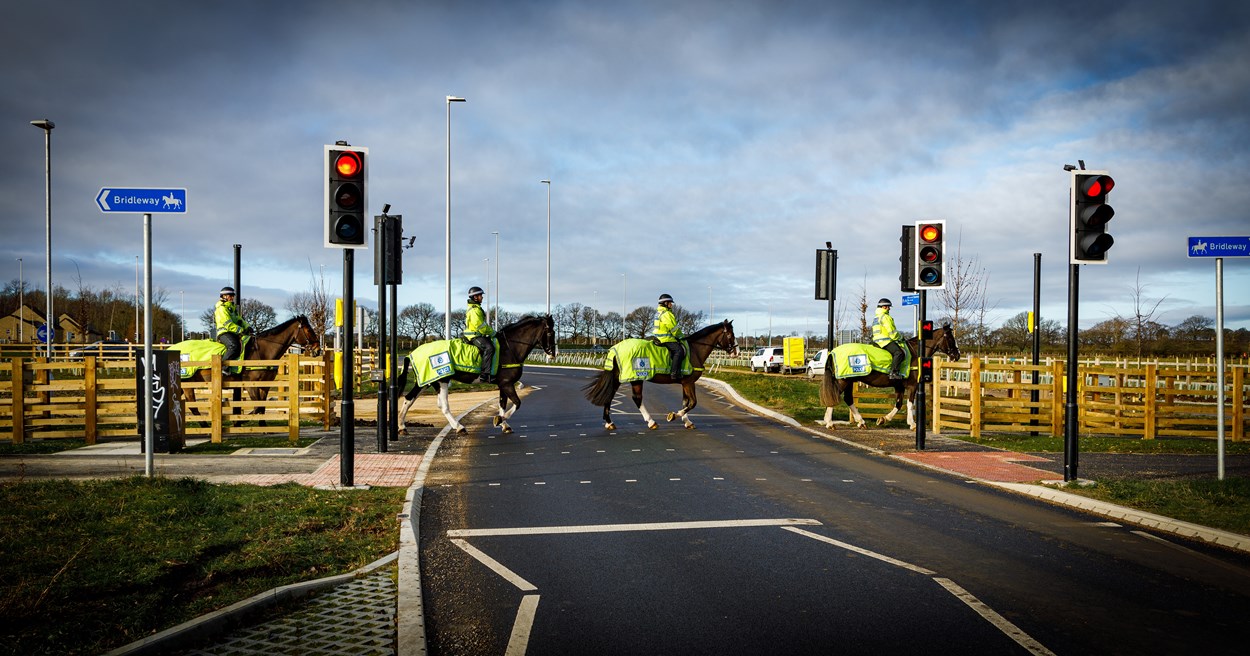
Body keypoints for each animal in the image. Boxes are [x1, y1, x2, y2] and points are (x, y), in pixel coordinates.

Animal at [172, 316, 322, 414]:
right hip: (187, 384)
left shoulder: (264, 385)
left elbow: (261, 407)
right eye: (309, 330)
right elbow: (257, 407)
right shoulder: (250, 385)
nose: (317, 349)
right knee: (193, 407)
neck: (262, 351)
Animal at [397, 313, 555, 432]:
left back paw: (402, 426)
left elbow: (502, 405)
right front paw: (499, 420)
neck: (510, 347)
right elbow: (517, 403)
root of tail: (413, 353)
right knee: (444, 406)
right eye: (550, 332)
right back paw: (459, 427)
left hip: (427, 381)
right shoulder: (507, 384)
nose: (553, 354)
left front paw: (504, 424)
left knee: (409, 399)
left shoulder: (504, 384)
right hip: (442, 380)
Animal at [580, 319, 735, 432]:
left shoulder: (685, 383)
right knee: (636, 398)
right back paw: (651, 422)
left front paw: (687, 421)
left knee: (611, 395)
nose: (735, 352)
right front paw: (673, 415)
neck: (695, 349)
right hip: (636, 377)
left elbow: (686, 402)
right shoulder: (689, 382)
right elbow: (692, 402)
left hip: (620, 377)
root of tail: (615, 347)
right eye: (730, 335)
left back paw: (609, 422)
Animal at [815, 322, 960, 429]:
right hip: (843, 381)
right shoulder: (912, 385)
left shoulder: (899, 386)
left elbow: (899, 404)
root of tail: (833, 352)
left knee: (848, 399)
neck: (915, 353)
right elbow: (909, 404)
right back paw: (830, 423)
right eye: (951, 338)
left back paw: (860, 421)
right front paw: (912, 424)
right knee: (835, 397)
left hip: (849, 380)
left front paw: (883, 419)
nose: (957, 355)